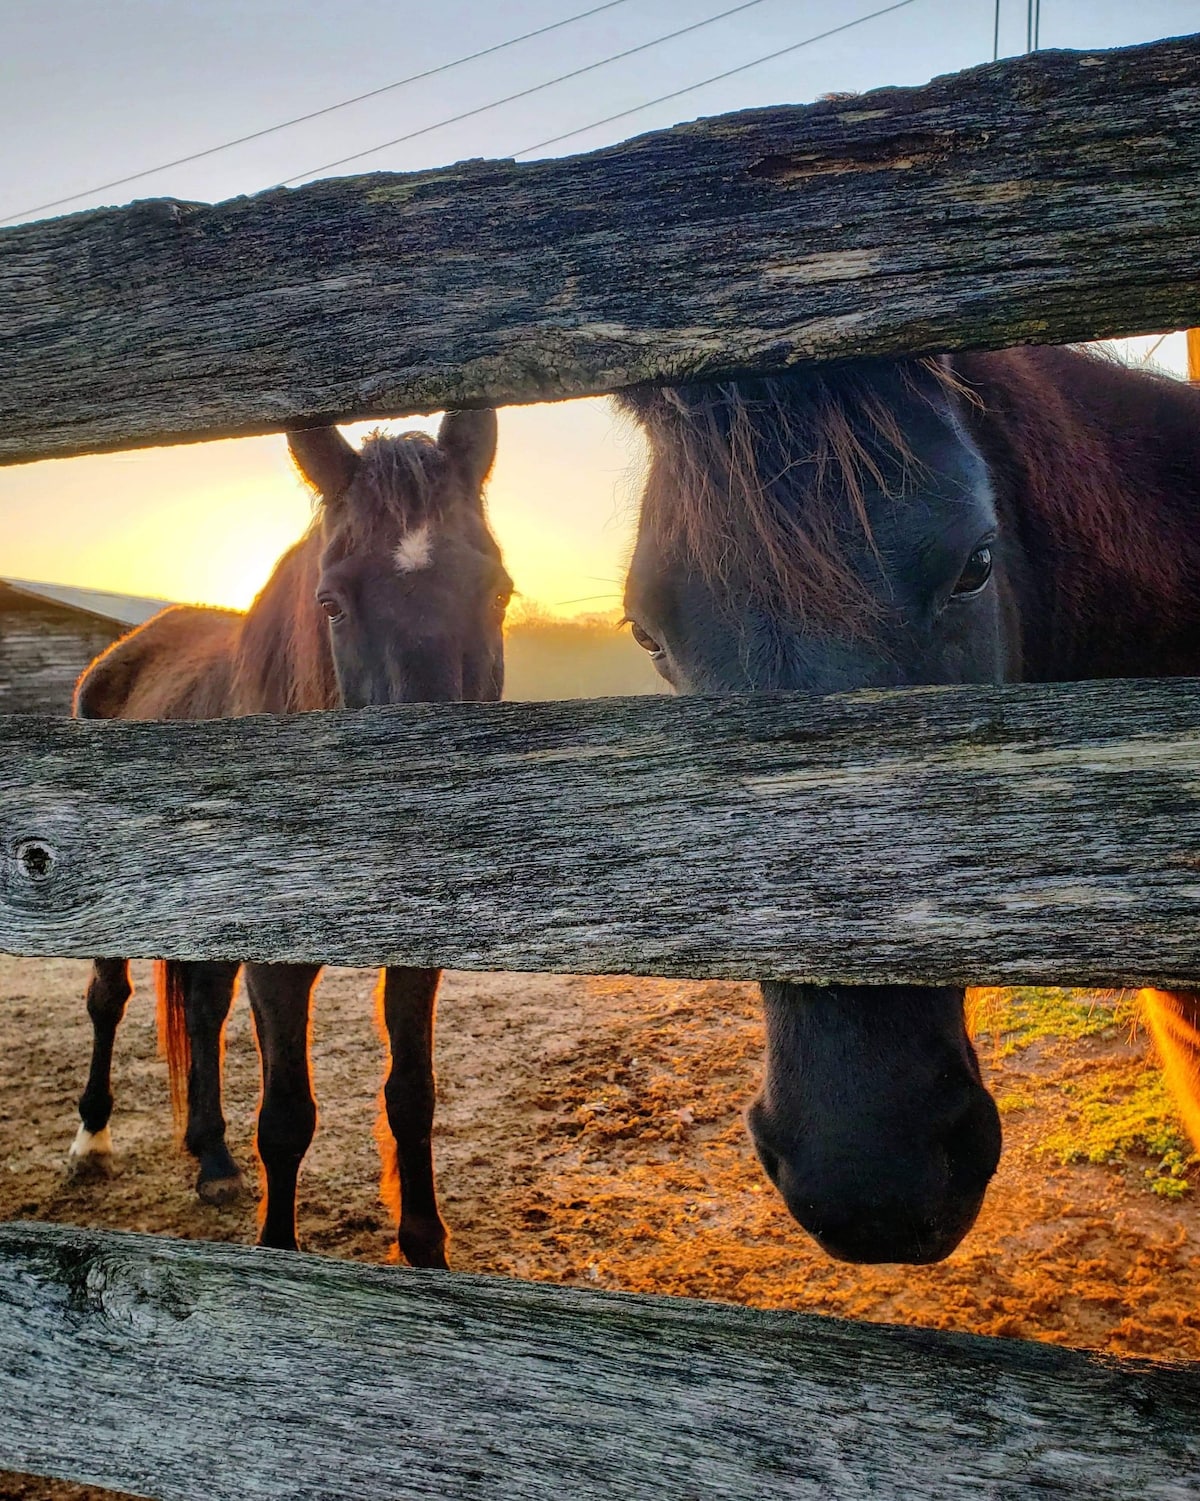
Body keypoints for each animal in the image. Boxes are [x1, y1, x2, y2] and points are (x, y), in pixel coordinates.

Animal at [69, 411, 510, 1266]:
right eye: (331, 602)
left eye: (498, 590)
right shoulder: (276, 961)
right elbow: (286, 1118)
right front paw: (279, 1254)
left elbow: (411, 1095)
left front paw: (427, 1251)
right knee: (110, 998)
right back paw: (91, 1140)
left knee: (203, 1009)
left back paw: (211, 1156)